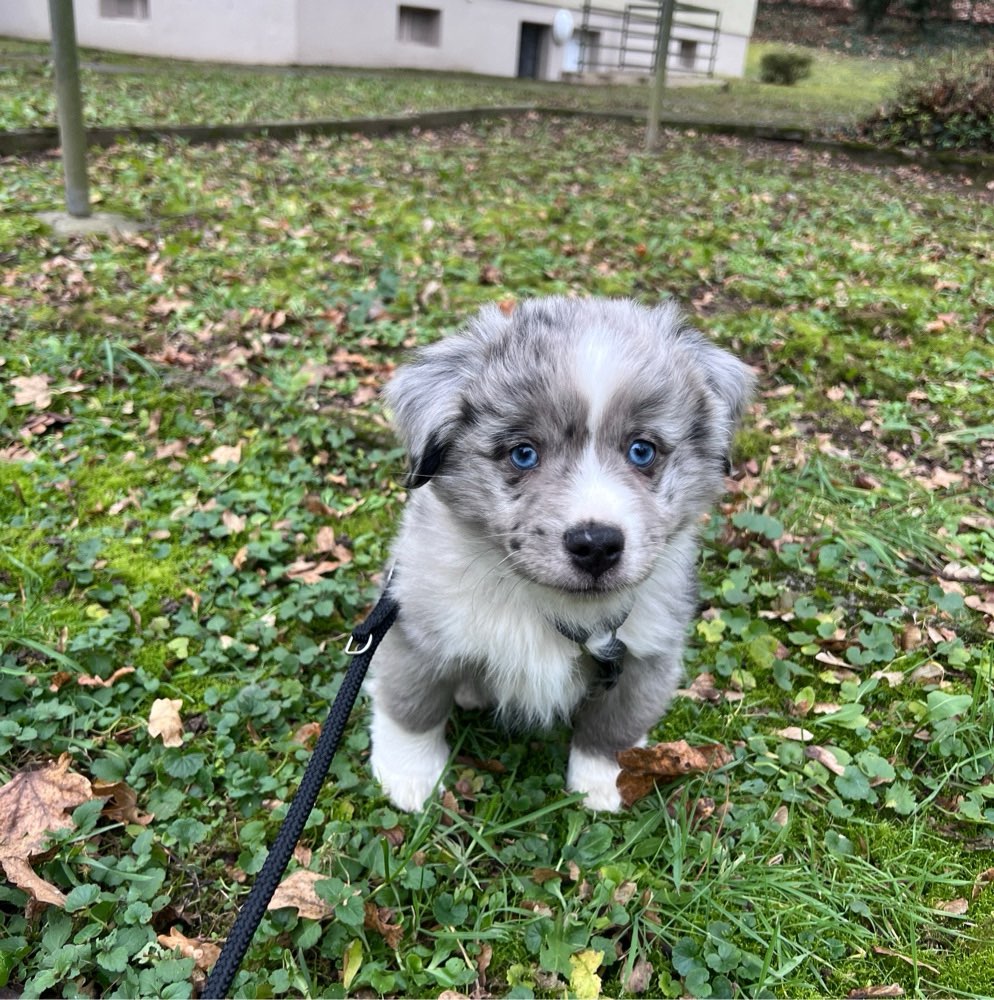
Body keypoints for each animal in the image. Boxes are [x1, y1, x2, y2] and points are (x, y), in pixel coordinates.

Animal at [368, 296, 748, 812]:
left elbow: (615, 727)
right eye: (523, 453)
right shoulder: (417, 630)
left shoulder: (647, 653)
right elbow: (412, 707)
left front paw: (604, 782)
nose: (597, 544)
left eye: (642, 450)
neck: (543, 601)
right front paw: (409, 777)